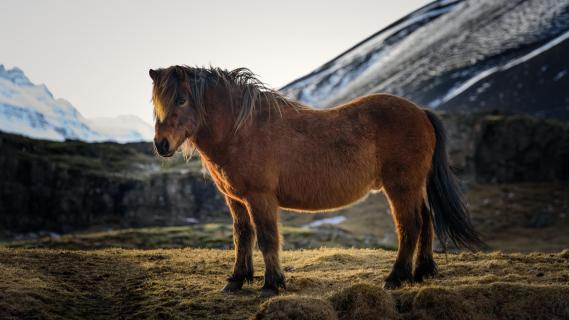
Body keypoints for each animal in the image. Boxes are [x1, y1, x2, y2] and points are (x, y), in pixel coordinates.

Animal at [148, 65, 484, 298]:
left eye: (181, 99)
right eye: (156, 104)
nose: (161, 145)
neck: (241, 130)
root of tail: (421, 112)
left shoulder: (260, 197)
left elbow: (267, 238)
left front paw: (271, 285)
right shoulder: (235, 199)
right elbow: (242, 236)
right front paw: (236, 280)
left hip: (400, 187)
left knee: (410, 226)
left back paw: (396, 277)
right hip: (414, 186)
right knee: (426, 220)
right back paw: (423, 272)